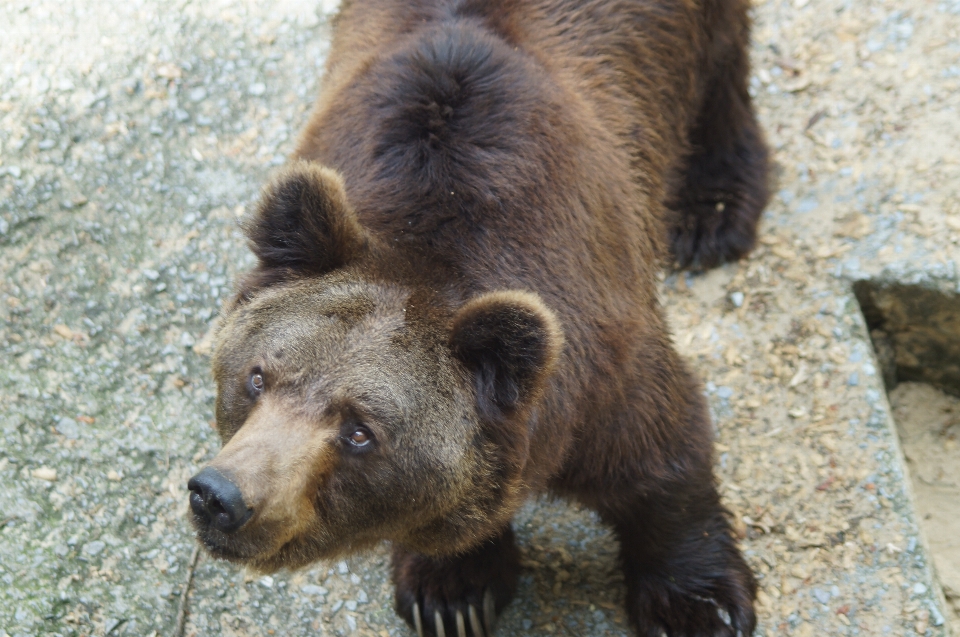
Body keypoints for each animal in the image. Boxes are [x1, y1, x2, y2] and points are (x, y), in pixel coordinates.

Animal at [191, 1, 768, 636]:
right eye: (256, 377)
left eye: (360, 431)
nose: (220, 496)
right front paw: (453, 593)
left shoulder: (602, 362)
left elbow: (662, 456)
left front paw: (698, 606)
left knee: (721, 71)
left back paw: (711, 211)